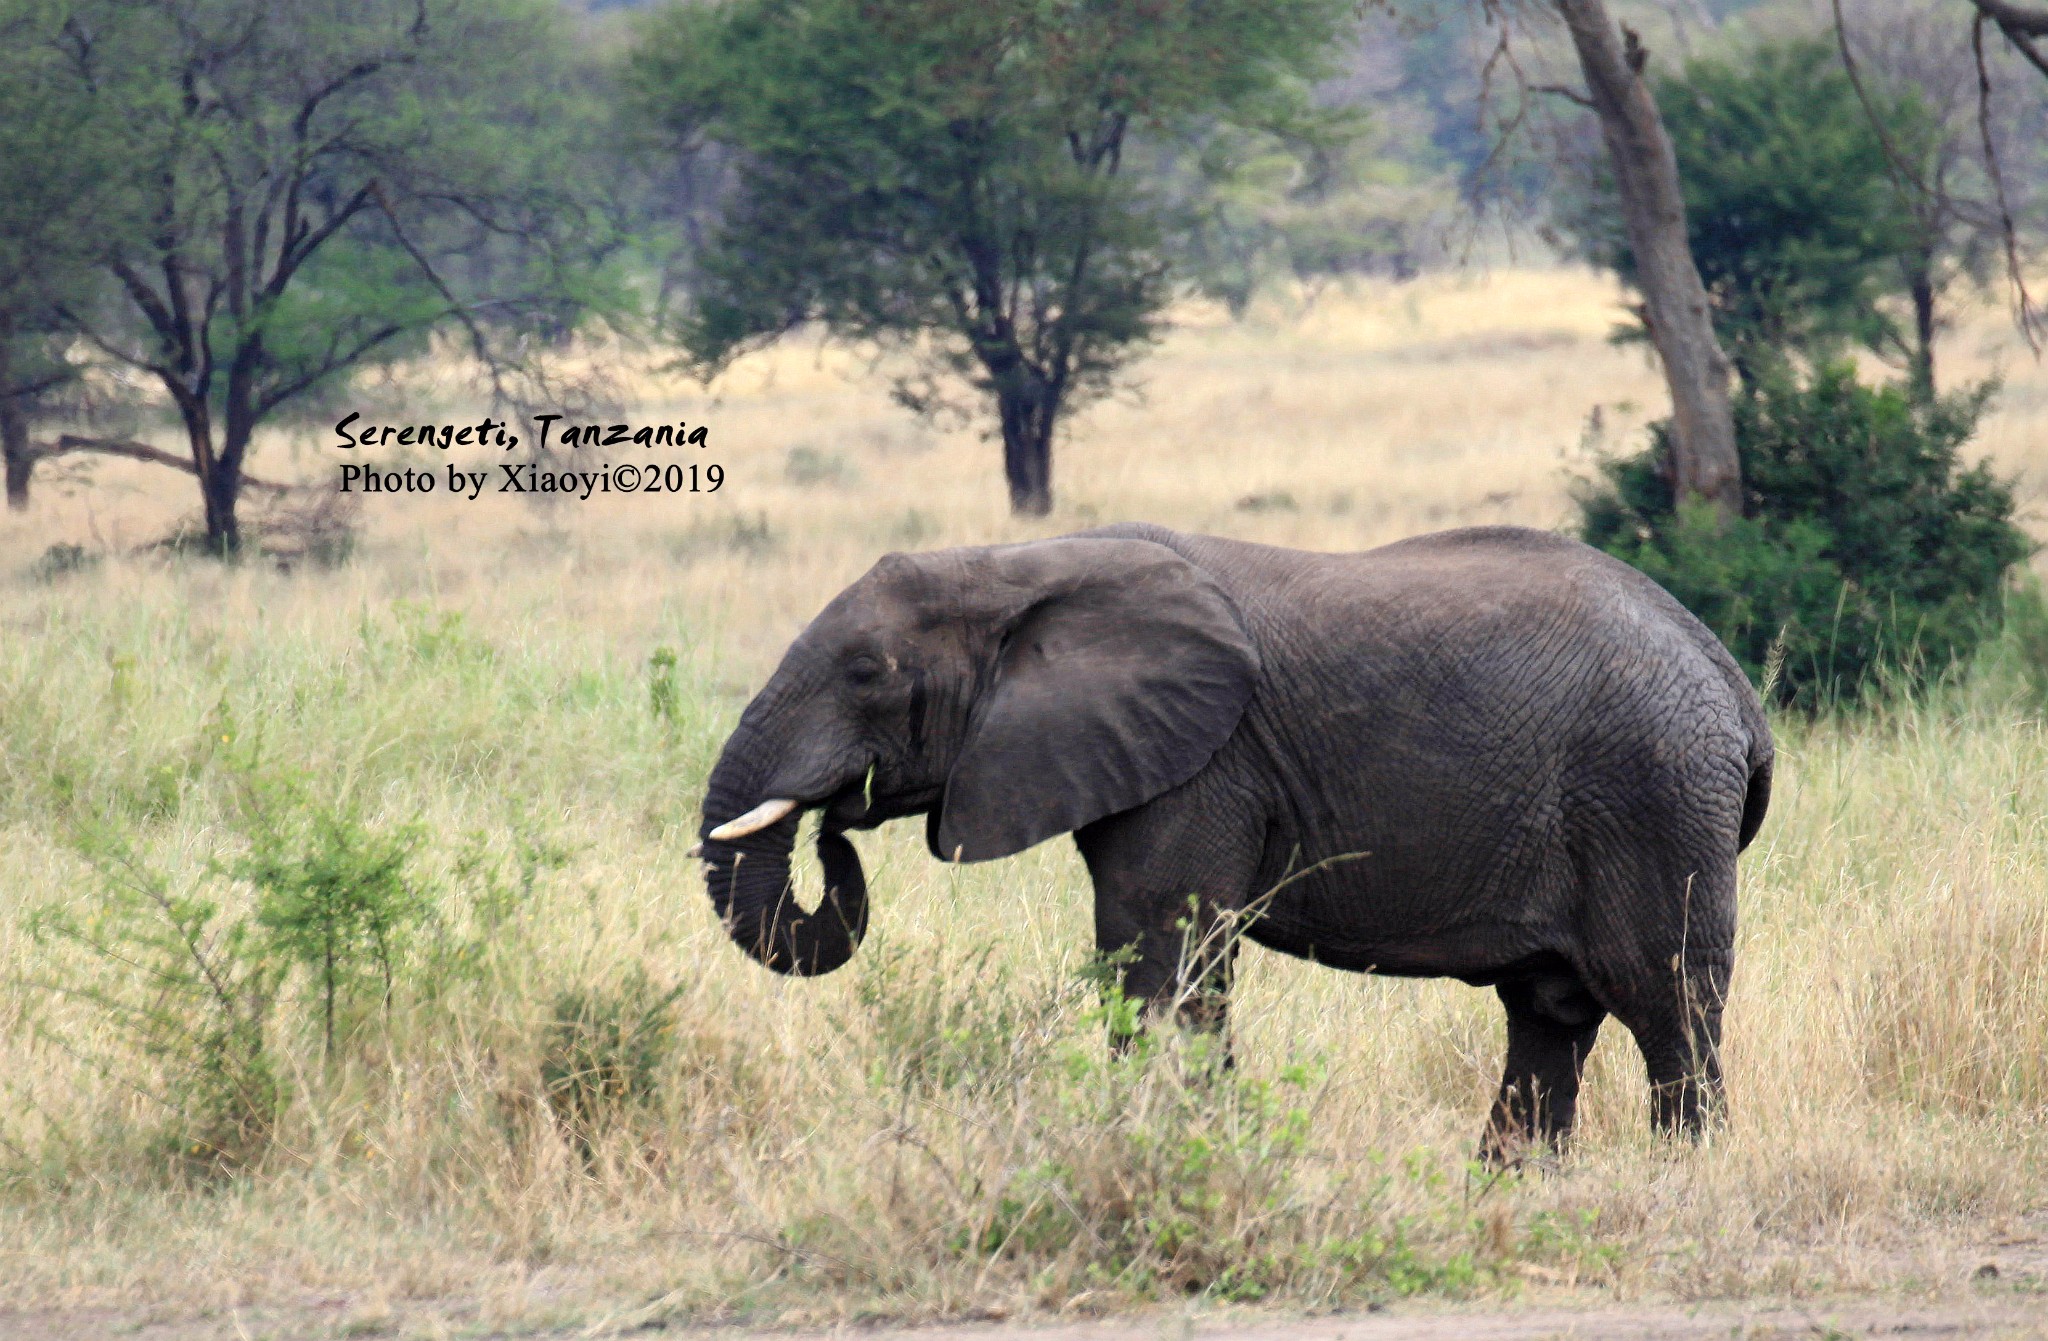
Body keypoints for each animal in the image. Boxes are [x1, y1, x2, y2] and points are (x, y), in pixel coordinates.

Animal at [696, 522, 1769, 1154]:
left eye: (867, 673)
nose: (837, 820)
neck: (1017, 562)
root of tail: (1730, 681)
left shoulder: (1204, 761)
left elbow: (1158, 954)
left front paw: (1166, 1153)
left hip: (1653, 794)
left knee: (1665, 1000)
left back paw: (1682, 1178)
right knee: (1549, 1013)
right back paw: (1509, 1187)